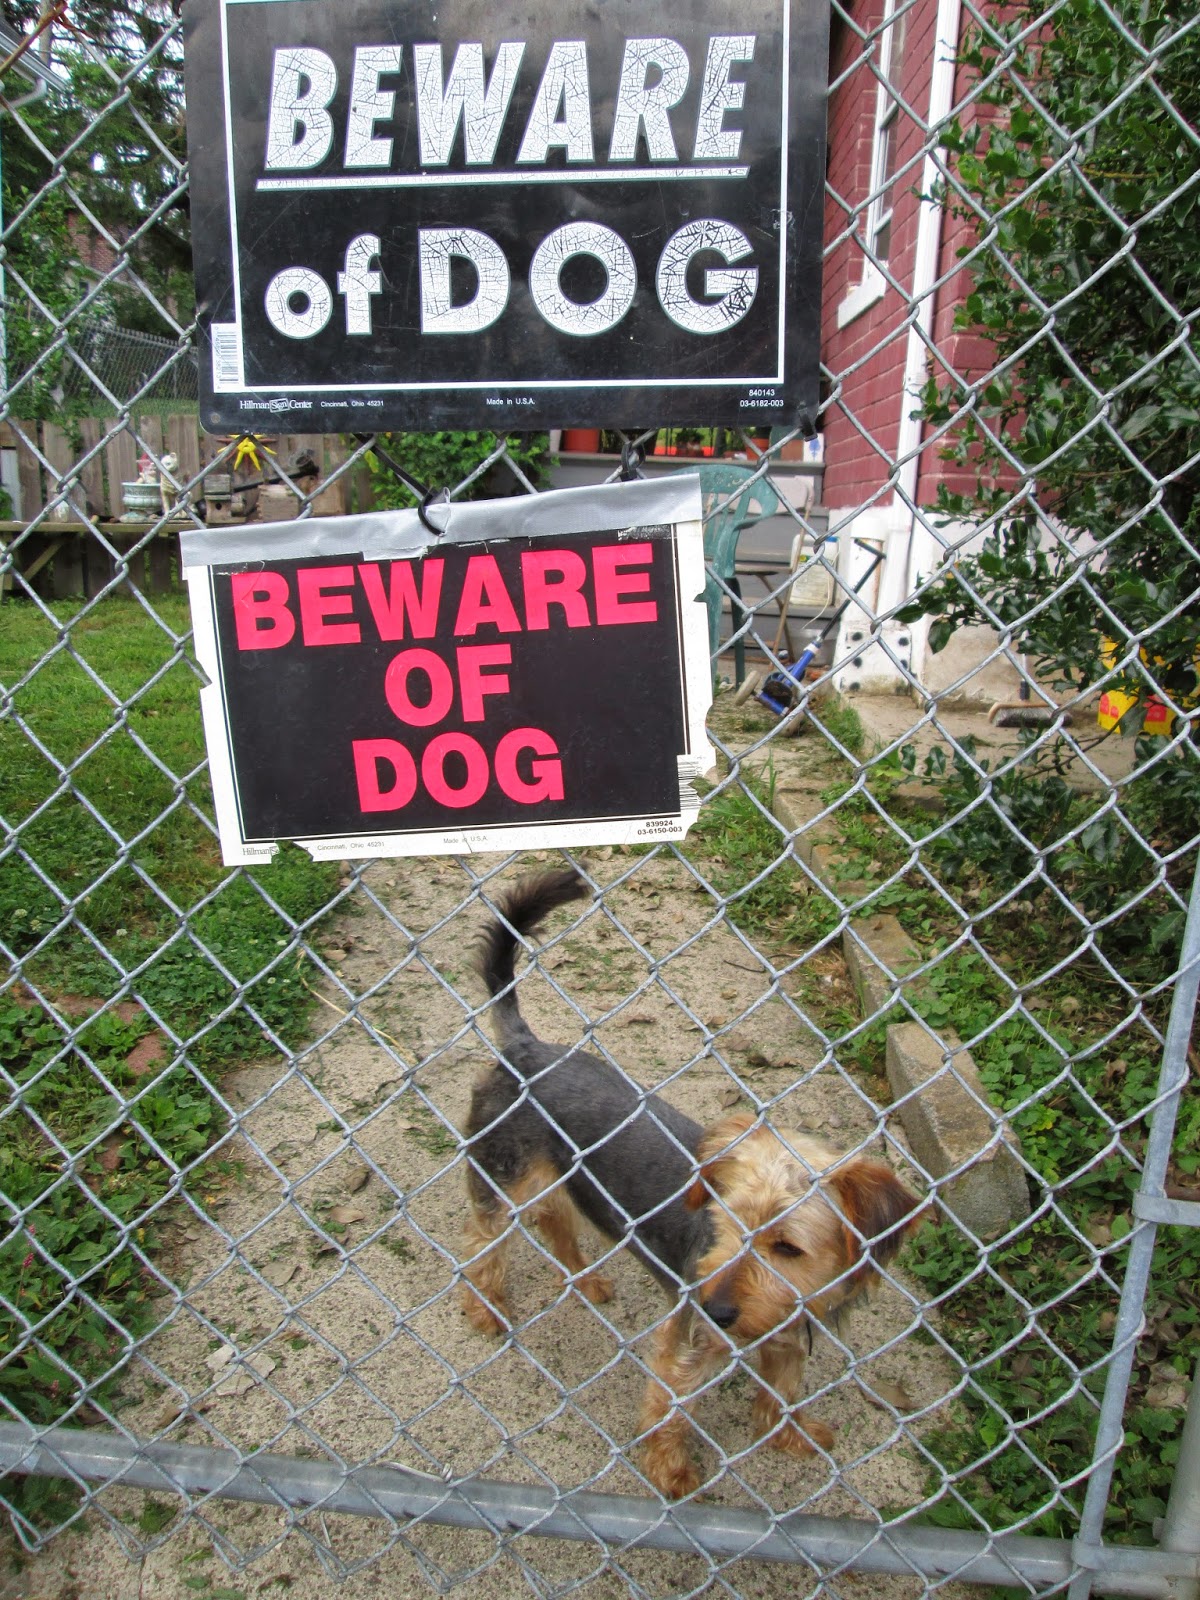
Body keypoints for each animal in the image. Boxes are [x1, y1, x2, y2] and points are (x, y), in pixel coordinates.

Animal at [460, 869, 925, 1498]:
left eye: (788, 1248)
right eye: (724, 1227)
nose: (712, 1306)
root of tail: (524, 1049)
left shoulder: (784, 1339)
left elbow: (783, 1392)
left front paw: (789, 1436)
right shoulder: (687, 1348)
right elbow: (670, 1411)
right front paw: (672, 1472)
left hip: (560, 1177)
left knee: (556, 1219)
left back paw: (586, 1280)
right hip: (500, 1177)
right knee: (482, 1247)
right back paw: (486, 1310)